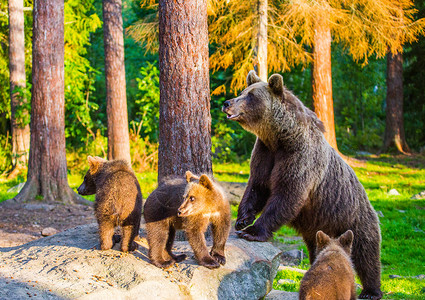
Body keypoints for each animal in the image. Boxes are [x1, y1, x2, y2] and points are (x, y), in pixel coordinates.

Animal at [224, 71, 382, 300]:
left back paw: (371, 291)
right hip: (316, 228)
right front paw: (242, 220)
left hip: (352, 217)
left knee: (366, 253)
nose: (227, 103)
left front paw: (253, 231)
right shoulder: (265, 153)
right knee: (319, 248)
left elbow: (287, 194)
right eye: (242, 92)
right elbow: (257, 186)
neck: (279, 136)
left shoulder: (299, 156)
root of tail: (366, 196)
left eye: (250, 96)